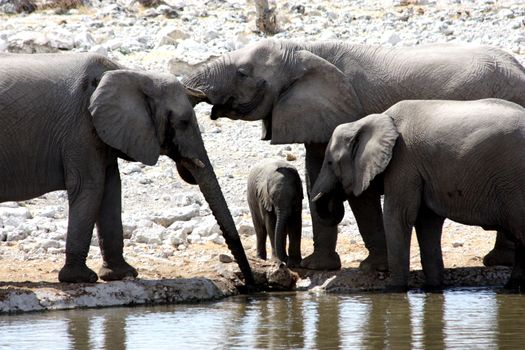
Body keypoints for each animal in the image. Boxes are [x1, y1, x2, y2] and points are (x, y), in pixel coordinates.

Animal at [0, 53, 254, 286]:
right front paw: (80, 279)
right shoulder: (79, 128)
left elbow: (111, 188)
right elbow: (90, 186)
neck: (132, 74)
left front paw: (122, 275)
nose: (251, 285)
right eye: (183, 122)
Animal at [183, 40, 524, 270]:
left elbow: (358, 192)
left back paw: (497, 261)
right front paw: (318, 267)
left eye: (242, 73)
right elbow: (313, 170)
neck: (303, 51)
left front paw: (372, 268)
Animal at [310, 98, 524, 290]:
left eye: (330, 162)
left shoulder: (404, 162)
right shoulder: (420, 170)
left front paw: (393, 291)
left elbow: (399, 216)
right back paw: (511, 287)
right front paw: (433, 288)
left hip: (514, 182)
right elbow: (427, 222)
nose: (332, 200)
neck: (373, 120)